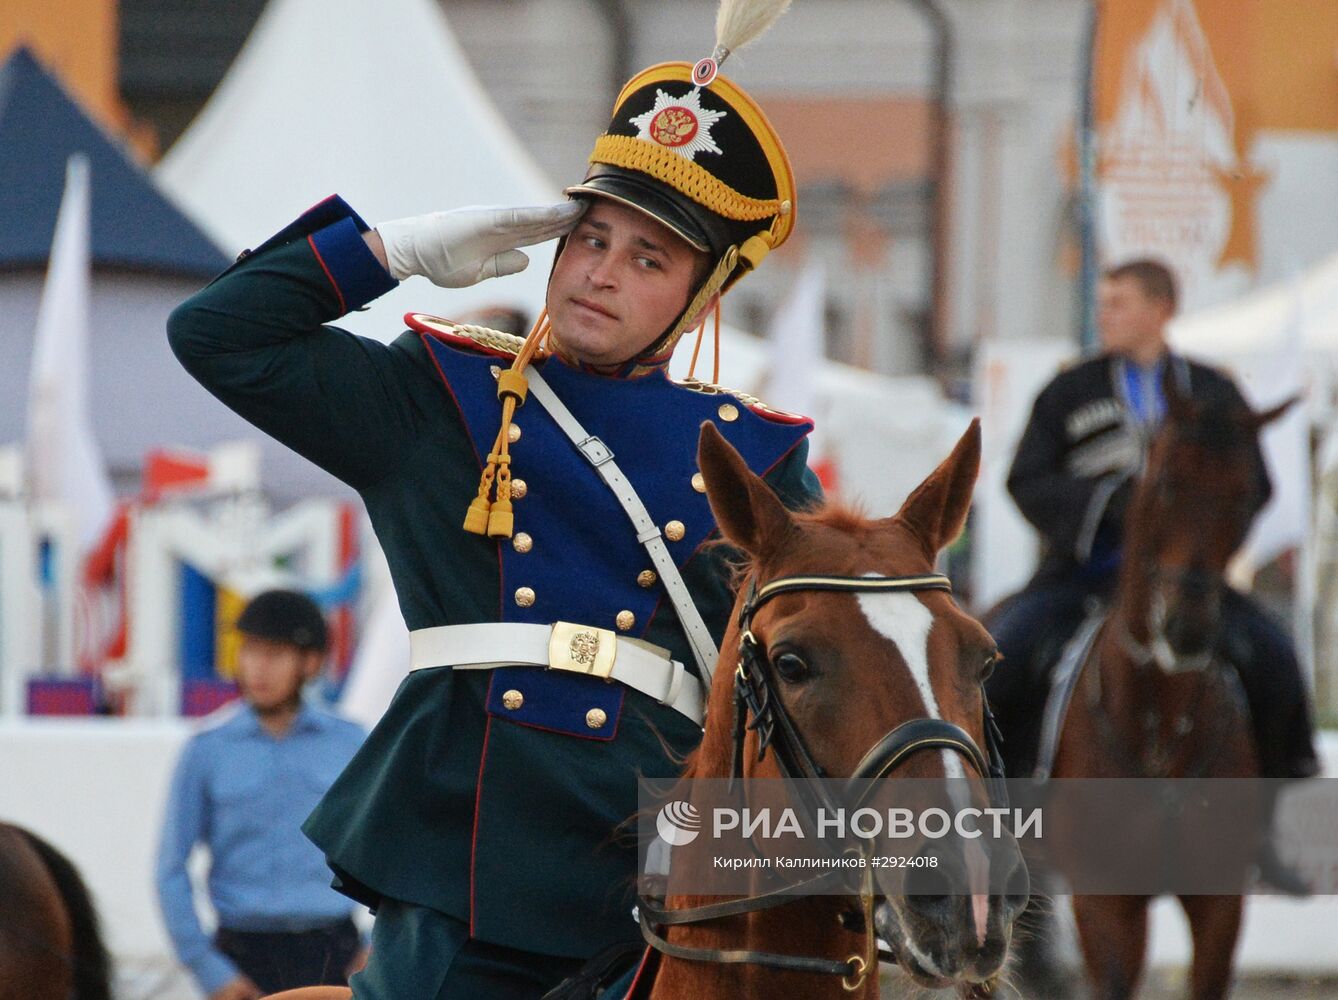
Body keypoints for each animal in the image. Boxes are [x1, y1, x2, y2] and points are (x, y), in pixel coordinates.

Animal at [1048, 382, 1289, 1000]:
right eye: (1165, 484)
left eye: (1247, 497)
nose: (1187, 628)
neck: (1157, 725)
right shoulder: (1103, 899)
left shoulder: (1219, 899)